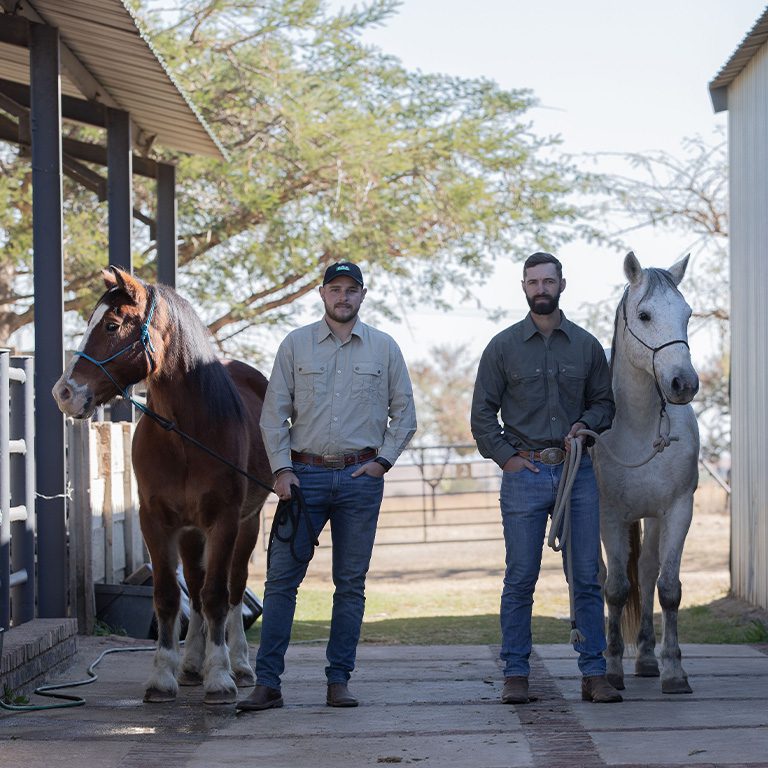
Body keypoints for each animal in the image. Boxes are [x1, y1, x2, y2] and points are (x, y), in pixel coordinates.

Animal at [52, 268, 272, 704]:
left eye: (112, 324)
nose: (64, 393)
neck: (183, 434)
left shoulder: (224, 521)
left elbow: (219, 596)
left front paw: (219, 677)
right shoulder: (156, 521)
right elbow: (170, 596)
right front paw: (163, 675)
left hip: (247, 525)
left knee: (233, 589)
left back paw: (239, 665)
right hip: (189, 533)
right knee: (197, 587)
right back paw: (191, 664)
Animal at [592, 252, 704, 696]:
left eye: (687, 314)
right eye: (644, 315)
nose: (683, 383)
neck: (637, 431)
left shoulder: (677, 511)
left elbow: (668, 587)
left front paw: (673, 670)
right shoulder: (608, 516)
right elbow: (616, 590)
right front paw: (609, 669)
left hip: (651, 520)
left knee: (646, 570)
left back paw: (644, 659)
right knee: (600, 578)